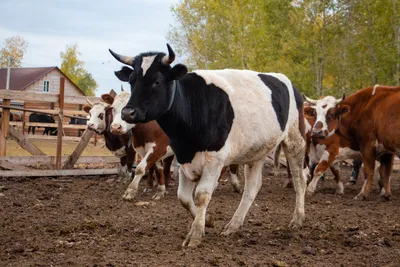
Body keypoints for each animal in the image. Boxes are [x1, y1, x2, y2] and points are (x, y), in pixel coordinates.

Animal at [109, 43, 306, 247]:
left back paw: (297, 219)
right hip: (256, 152)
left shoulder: (214, 159)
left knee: (300, 180)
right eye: (132, 81)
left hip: (295, 140)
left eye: (156, 81)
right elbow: (184, 198)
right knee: (252, 188)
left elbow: (202, 195)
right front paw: (207, 221)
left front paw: (195, 234)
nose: (128, 112)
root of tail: (288, 82)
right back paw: (233, 225)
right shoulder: (183, 157)